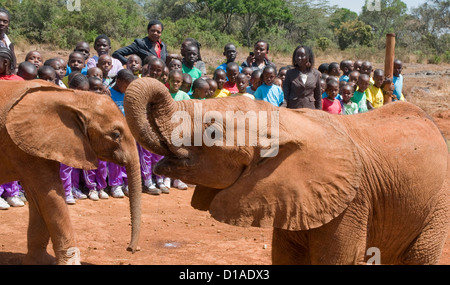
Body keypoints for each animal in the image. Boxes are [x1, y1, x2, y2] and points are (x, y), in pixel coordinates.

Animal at [0, 79, 142, 262]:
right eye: (116, 135)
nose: (130, 249)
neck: (72, 97)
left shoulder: (39, 145)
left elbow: (39, 200)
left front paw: (40, 261)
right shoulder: (23, 145)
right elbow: (49, 197)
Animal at [123, 77, 450, 264]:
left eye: (212, 133)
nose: (131, 250)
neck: (283, 119)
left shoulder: (353, 202)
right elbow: (284, 258)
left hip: (438, 205)